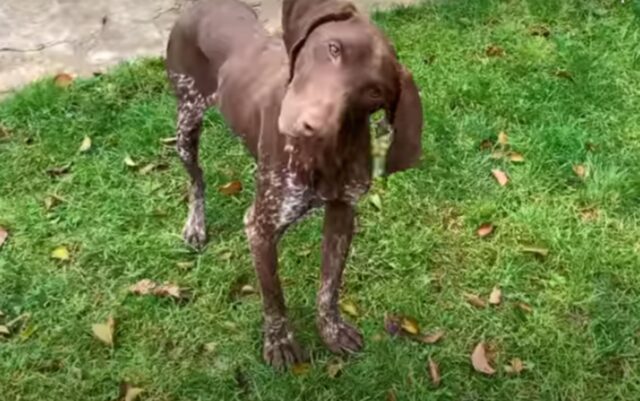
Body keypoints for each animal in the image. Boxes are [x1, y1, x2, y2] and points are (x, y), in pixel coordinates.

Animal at [168, 0, 422, 368]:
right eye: (333, 48)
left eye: (374, 91)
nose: (311, 126)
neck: (324, 155)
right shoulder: (260, 228)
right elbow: (274, 296)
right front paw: (279, 342)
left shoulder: (342, 214)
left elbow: (329, 287)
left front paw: (330, 331)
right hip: (186, 121)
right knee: (196, 179)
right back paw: (196, 225)